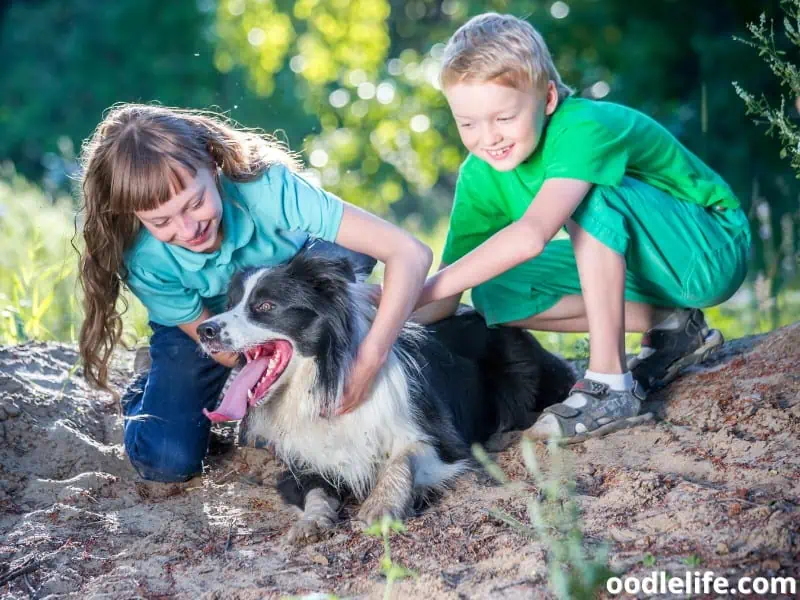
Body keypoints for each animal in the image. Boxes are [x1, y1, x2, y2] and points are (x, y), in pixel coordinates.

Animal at [200, 252, 576, 544]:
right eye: (230, 305)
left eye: (265, 306)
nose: (205, 330)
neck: (324, 379)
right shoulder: (300, 462)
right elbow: (315, 490)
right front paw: (311, 521)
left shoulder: (443, 440)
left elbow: (402, 459)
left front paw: (382, 504)